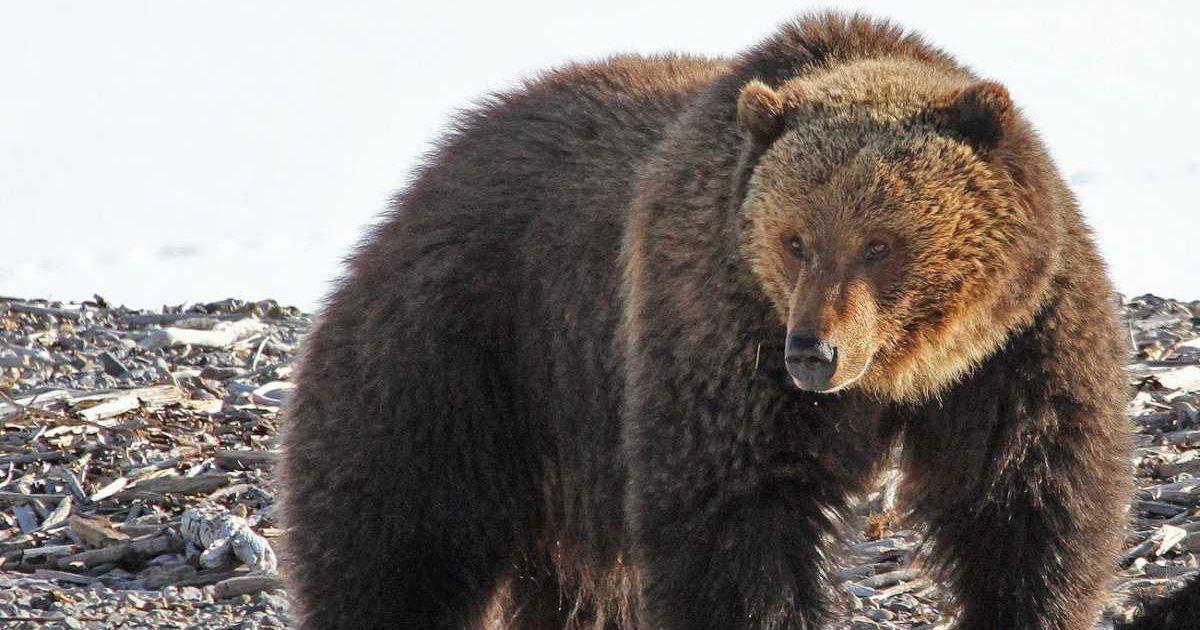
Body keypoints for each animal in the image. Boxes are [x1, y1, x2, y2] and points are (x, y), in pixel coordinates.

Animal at [281, 11, 1134, 630]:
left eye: (880, 243)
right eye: (795, 240)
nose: (814, 353)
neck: (904, 375)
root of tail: (438, 162)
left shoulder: (1021, 345)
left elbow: (1028, 505)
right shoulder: (720, 326)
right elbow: (734, 516)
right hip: (473, 344)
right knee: (398, 526)